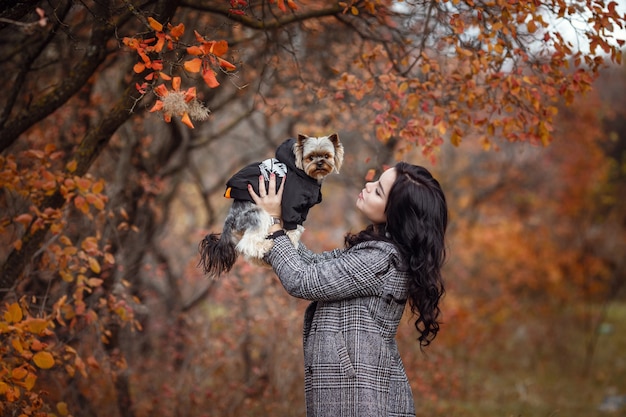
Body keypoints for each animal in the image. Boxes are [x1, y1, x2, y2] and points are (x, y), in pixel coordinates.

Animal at [199, 133, 342, 276]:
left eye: (327, 156)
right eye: (310, 157)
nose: (320, 163)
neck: (306, 175)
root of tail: (231, 216)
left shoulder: (303, 211)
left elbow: (299, 226)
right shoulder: (290, 204)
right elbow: (293, 227)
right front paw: (292, 242)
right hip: (258, 214)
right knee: (246, 244)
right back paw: (266, 246)